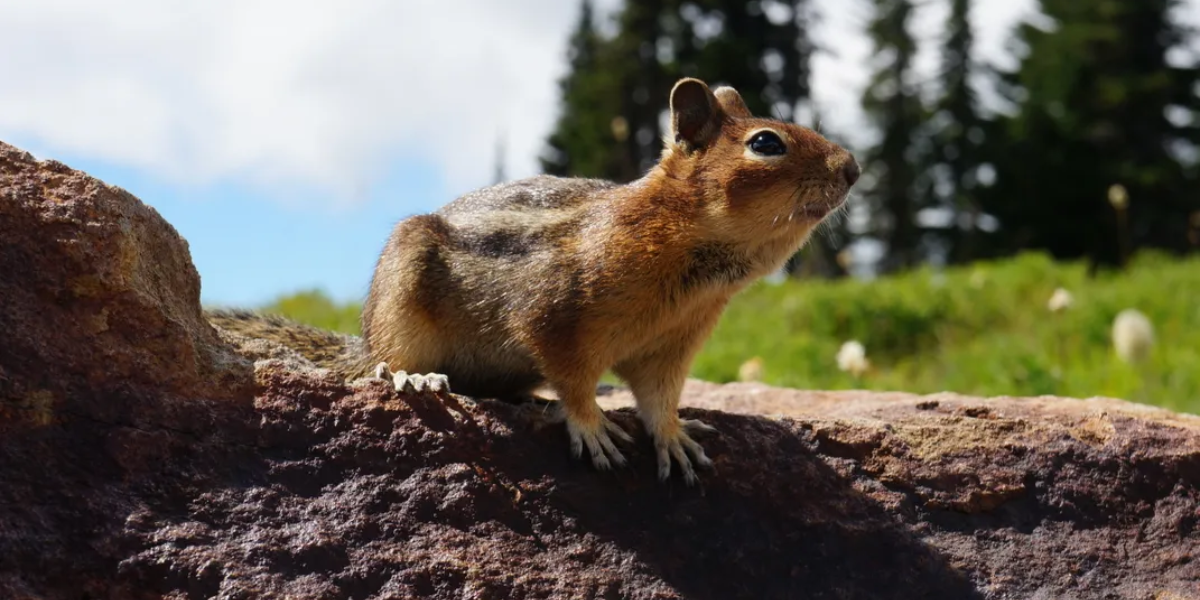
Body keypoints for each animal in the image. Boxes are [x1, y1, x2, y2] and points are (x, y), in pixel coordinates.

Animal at [208, 78, 864, 482]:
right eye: (766, 142)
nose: (855, 167)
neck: (692, 262)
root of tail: (360, 341)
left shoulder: (670, 347)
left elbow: (659, 398)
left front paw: (674, 435)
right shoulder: (554, 316)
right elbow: (572, 379)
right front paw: (591, 425)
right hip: (398, 299)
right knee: (383, 363)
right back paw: (415, 375)